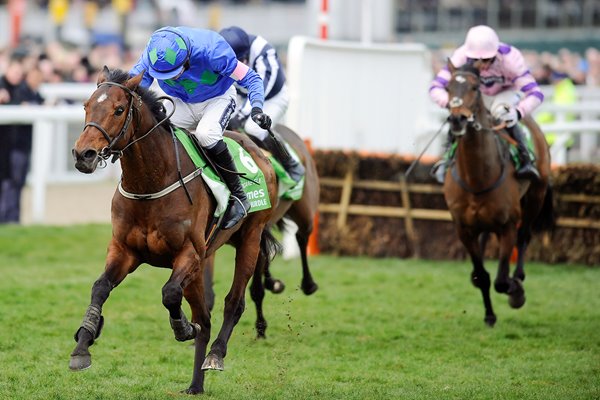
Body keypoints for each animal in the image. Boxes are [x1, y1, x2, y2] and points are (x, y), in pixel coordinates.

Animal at [69, 66, 280, 394]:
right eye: (86, 106)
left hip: (250, 238)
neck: (150, 183)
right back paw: (195, 385)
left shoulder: (189, 254)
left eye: (118, 110)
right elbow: (100, 287)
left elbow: (169, 293)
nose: (84, 155)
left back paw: (215, 355)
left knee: (233, 302)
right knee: (205, 317)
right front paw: (83, 344)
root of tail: (255, 149)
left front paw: (182, 327)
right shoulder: (124, 250)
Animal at [204, 124, 322, 338]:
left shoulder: (254, 233)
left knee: (301, 236)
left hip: (305, 212)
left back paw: (308, 284)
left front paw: (261, 328)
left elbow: (256, 289)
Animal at [442, 61, 556, 324]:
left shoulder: (508, 226)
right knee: (485, 238)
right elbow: (482, 276)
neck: (476, 178)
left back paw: (519, 277)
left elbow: (502, 281)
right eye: (448, 87)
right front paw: (489, 315)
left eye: (475, 87)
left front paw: (516, 292)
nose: (457, 119)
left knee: (525, 235)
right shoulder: (463, 229)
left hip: (535, 197)